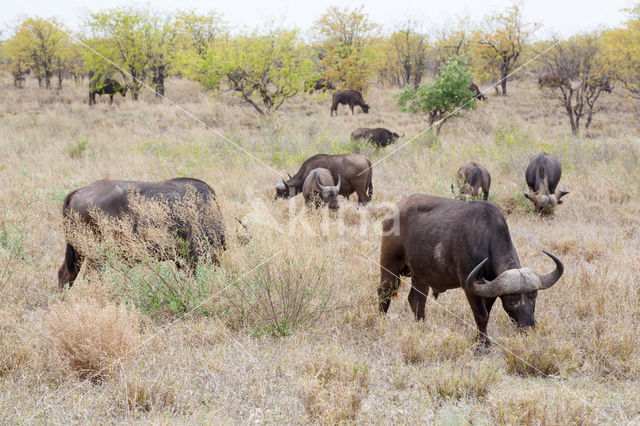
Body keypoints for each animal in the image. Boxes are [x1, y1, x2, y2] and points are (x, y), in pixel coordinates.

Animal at [57, 176, 226, 290]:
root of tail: (79, 191)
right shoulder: (192, 257)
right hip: (95, 255)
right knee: (91, 277)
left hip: (78, 252)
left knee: (66, 275)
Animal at [378, 195, 564, 344]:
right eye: (512, 300)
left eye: (534, 296)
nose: (529, 326)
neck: (486, 238)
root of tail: (392, 212)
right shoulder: (470, 285)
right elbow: (481, 315)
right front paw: (483, 345)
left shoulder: (489, 288)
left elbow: (486, 312)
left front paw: (480, 338)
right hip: (390, 266)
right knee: (384, 293)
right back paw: (380, 322)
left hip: (420, 274)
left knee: (416, 300)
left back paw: (422, 328)